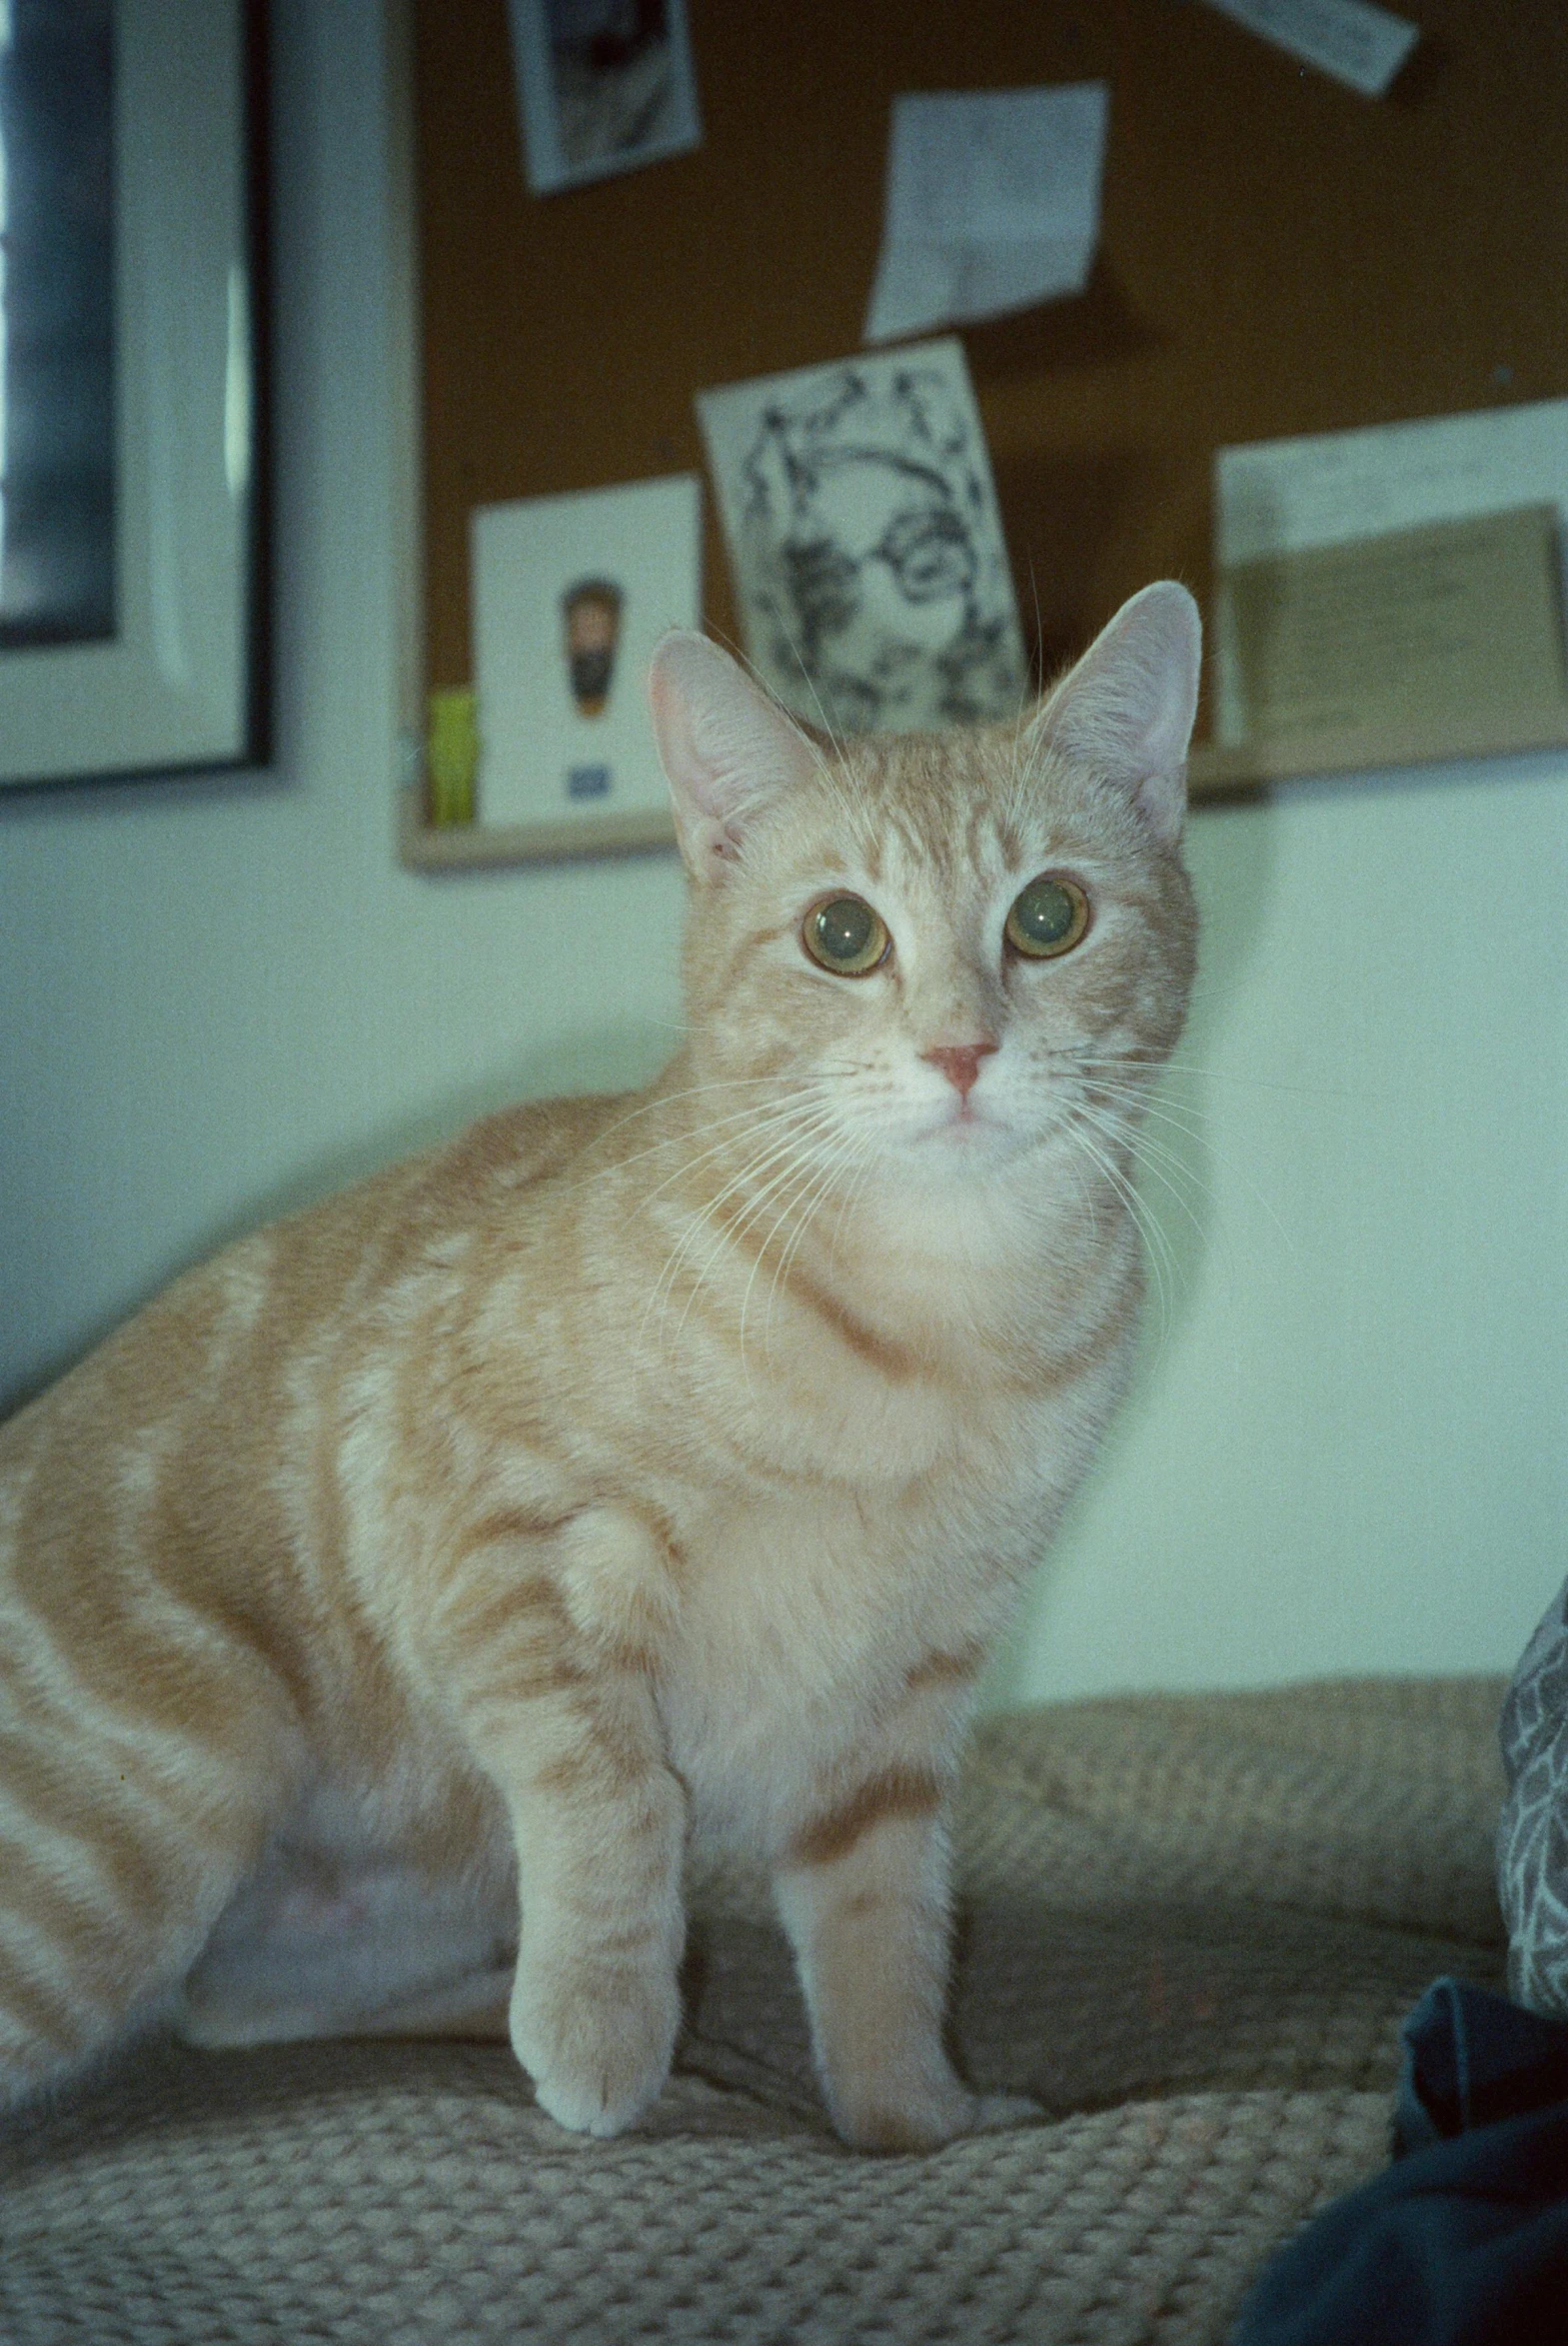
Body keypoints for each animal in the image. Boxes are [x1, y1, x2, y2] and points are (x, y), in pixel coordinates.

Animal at [0, 582, 1199, 2148]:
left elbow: (888, 1929)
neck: (937, 1331)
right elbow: (616, 1791)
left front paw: (915, 2120)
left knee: (228, 2008)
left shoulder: (900, 1705)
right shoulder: (493, 1548)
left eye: (1050, 916)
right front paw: (603, 2026)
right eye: (842, 933)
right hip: (164, 1808)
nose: (959, 1051)